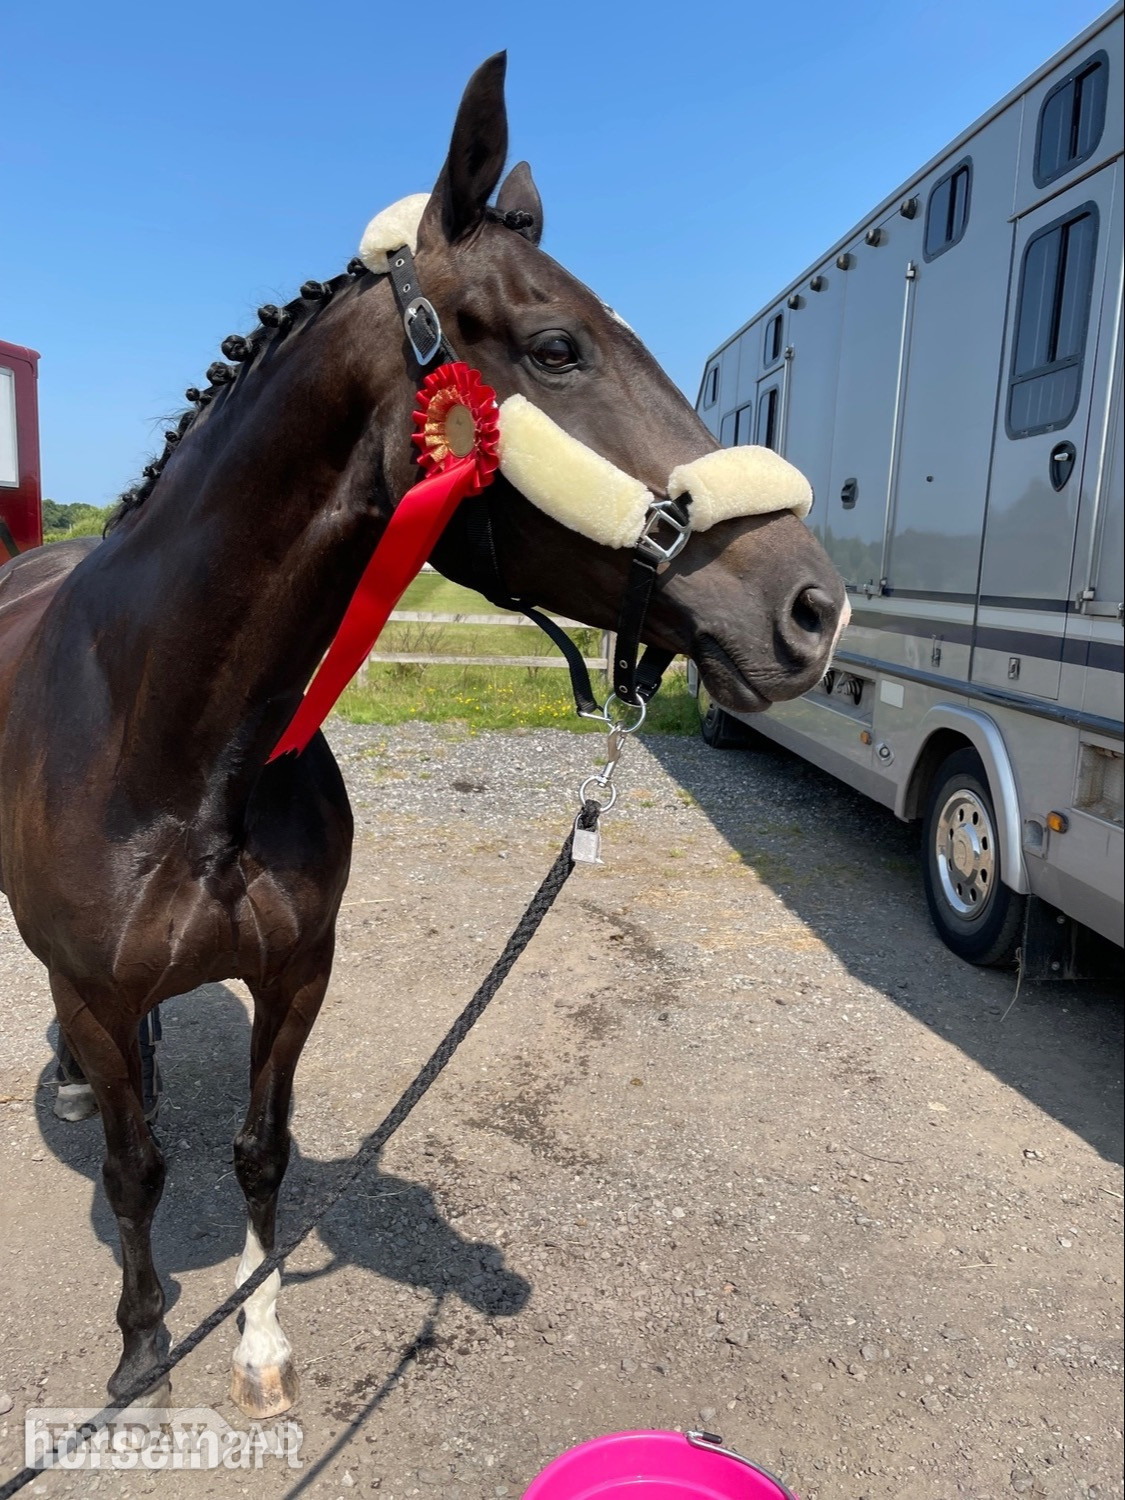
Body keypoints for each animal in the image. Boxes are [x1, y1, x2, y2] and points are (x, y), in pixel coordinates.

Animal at [0, 53, 846, 1422]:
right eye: (557, 348)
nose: (816, 609)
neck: (180, 754)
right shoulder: (96, 984)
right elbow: (136, 1175)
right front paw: (141, 1349)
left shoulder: (298, 975)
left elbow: (260, 1152)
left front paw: (258, 1342)